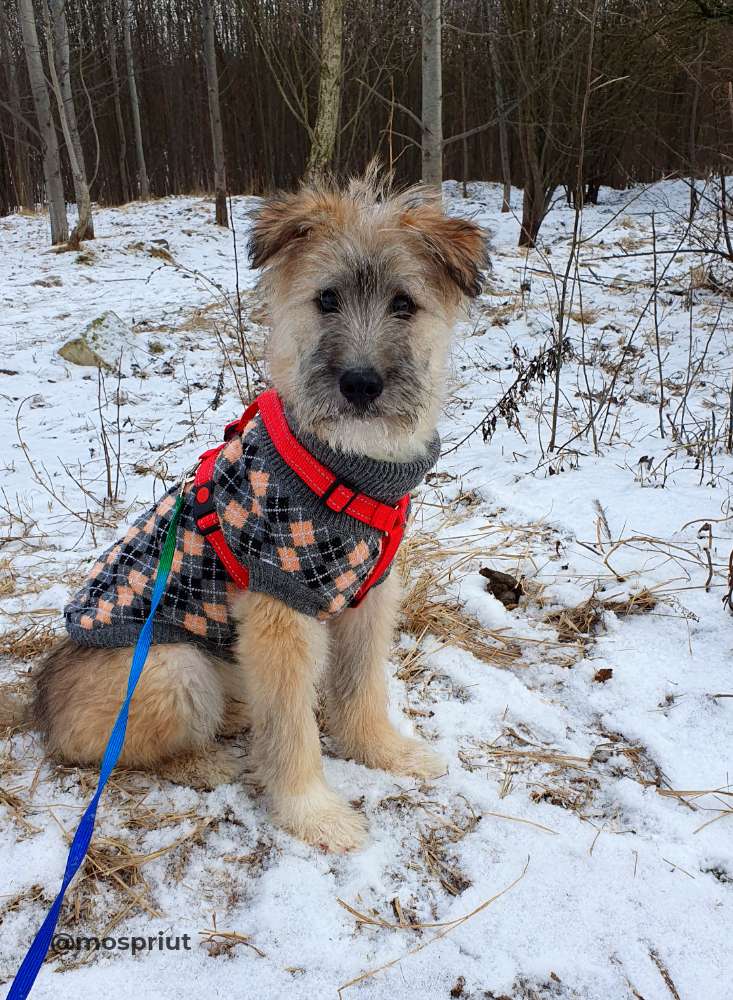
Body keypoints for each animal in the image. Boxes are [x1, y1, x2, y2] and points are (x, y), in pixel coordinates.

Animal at [33, 172, 486, 852]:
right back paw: (207, 761)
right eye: (327, 299)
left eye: (404, 305)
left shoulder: (369, 597)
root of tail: (39, 695)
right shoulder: (279, 612)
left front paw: (385, 753)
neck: (343, 469)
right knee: (116, 751)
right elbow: (293, 728)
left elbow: (362, 691)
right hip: (171, 666)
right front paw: (311, 812)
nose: (360, 384)